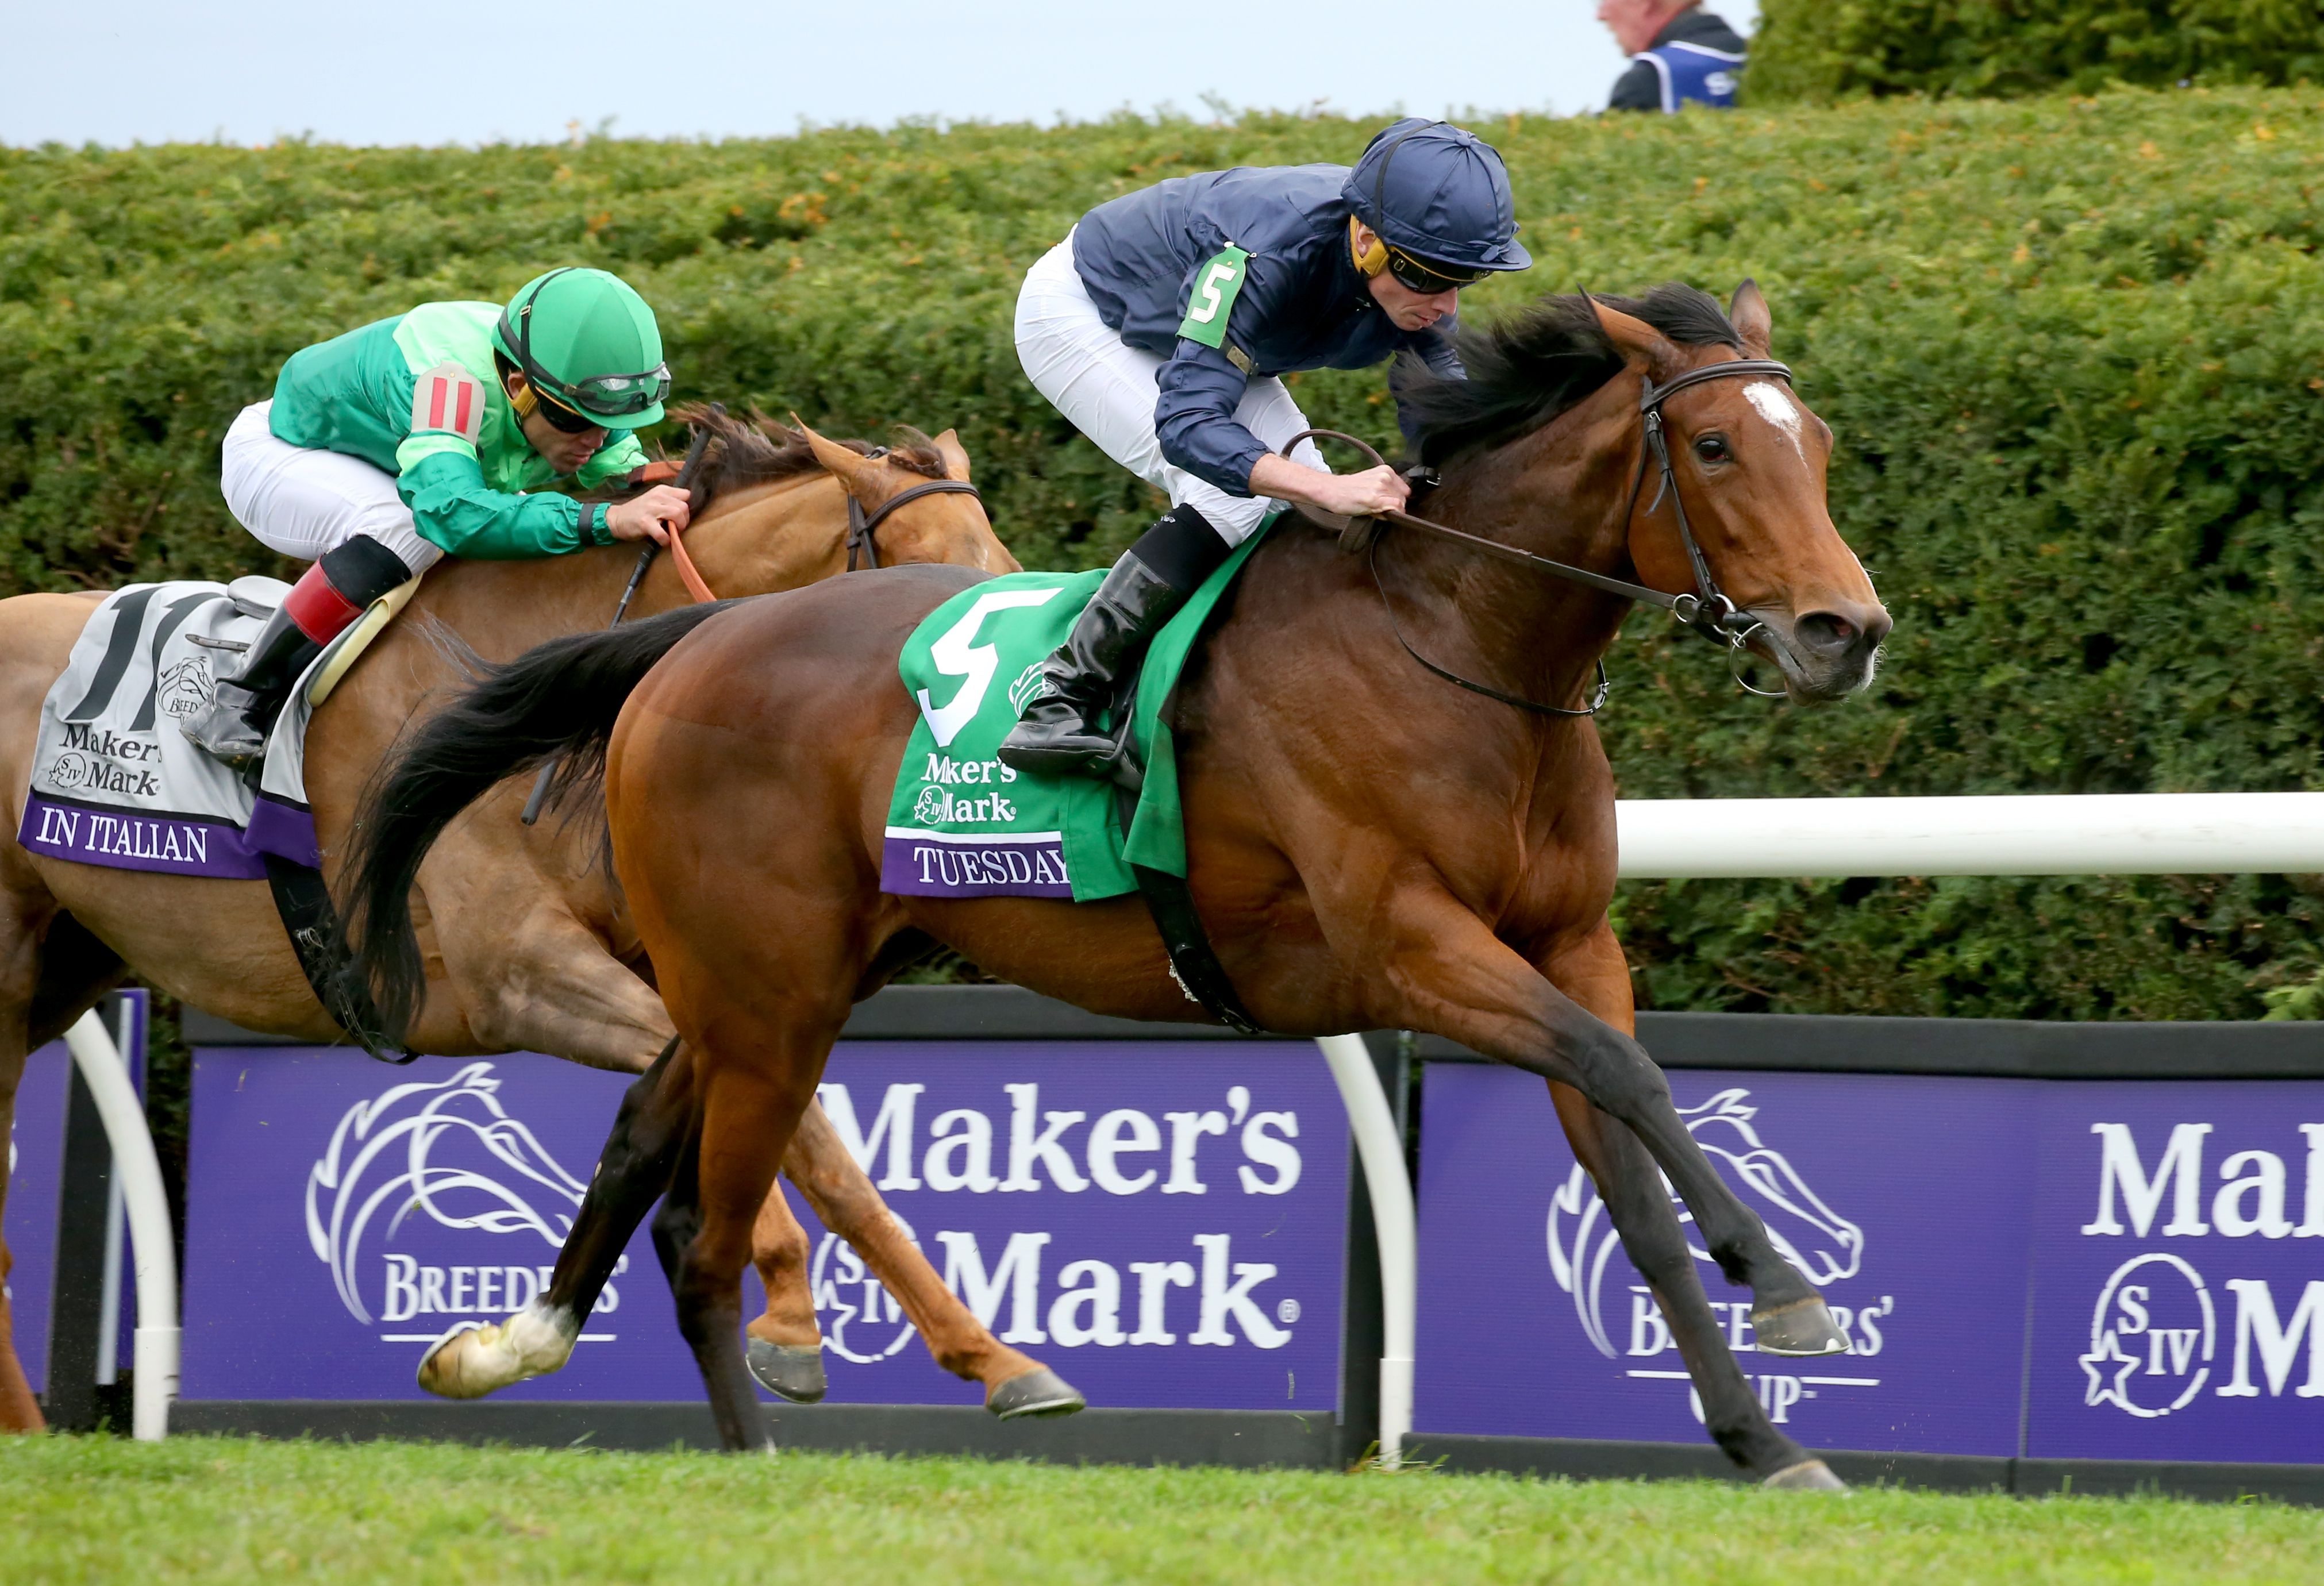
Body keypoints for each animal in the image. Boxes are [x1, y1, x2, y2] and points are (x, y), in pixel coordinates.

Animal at [0, 409, 1080, 1432]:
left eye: (1002, 565)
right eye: (939, 585)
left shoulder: (697, 971)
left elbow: (810, 1145)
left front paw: (992, 1359)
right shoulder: (524, 980)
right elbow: (798, 1134)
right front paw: (789, 1319)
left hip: (64, 967)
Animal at [343, 285, 1892, 1486]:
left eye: (1815, 444)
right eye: (1711, 444)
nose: (1846, 632)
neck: (1449, 638)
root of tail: (691, 642)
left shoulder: (1565, 942)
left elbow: (1630, 1166)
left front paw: (1766, 1441)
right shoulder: (1406, 945)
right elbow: (1626, 1077)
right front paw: (1788, 1288)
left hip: (774, 982)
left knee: (647, 1166)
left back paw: (509, 1347)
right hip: (768, 1000)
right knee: (708, 1234)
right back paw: (756, 1452)